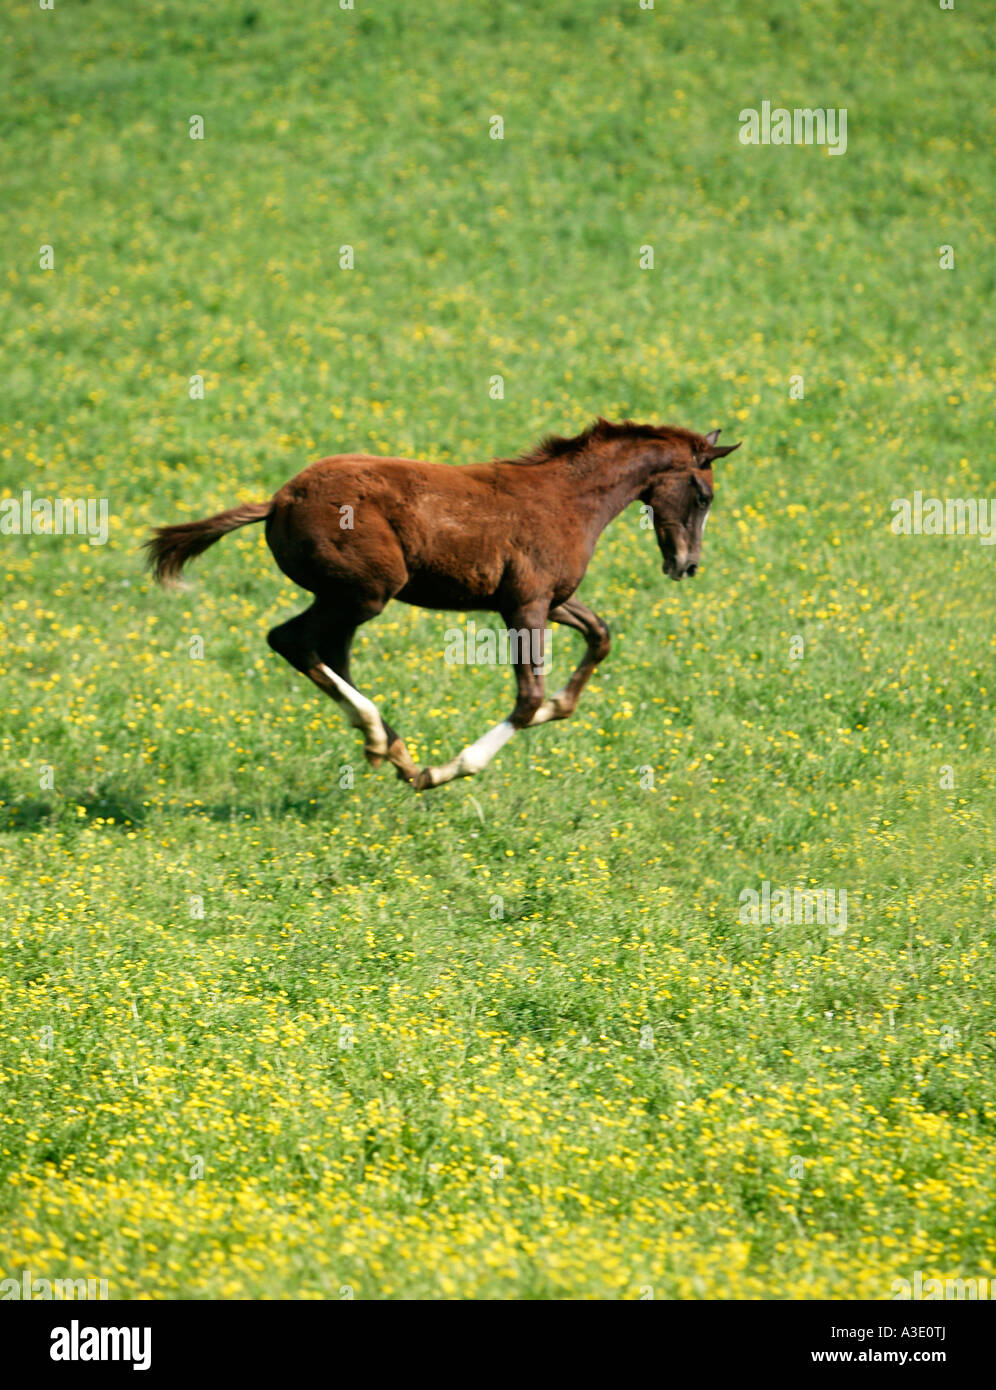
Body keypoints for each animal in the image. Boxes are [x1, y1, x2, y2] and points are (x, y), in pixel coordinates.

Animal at [145, 414, 739, 795]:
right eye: (703, 496)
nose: (687, 565)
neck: (569, 500)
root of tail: (278, 500)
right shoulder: (525, 605)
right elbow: (527, 699)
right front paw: (452, 769)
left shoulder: (548, 600)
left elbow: (599, 635)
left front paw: (559, 707)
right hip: (368, 590)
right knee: (292, 640)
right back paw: (390, 746)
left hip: (345, 595)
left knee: (329, 652)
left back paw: (390, 750)